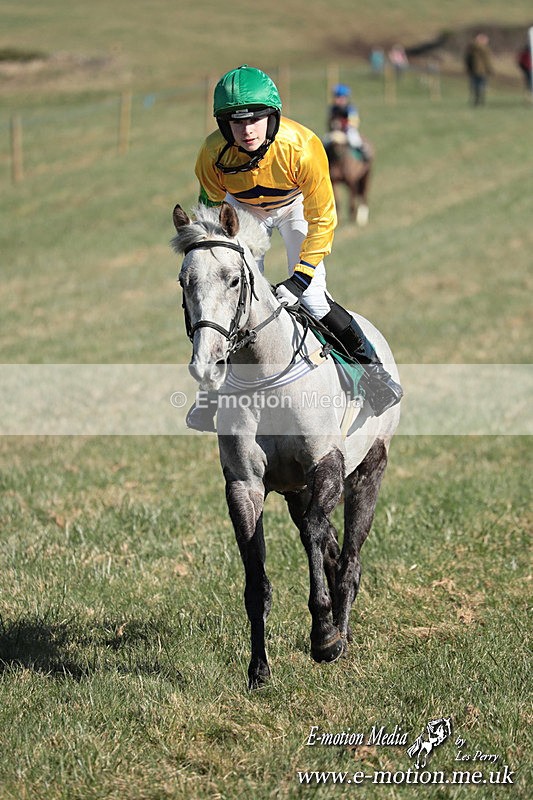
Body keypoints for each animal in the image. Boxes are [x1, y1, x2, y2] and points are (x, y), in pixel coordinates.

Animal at [171, 201, 401, 689]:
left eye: (233, 280)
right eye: (185, 281)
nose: (207, 363)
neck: (265, 375)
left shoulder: (326, 466)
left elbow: (316, 535)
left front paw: (325, 637)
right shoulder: (244, 484)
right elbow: (256, 578)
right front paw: (259, 670)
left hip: (368, 470)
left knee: (349, 558)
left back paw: (342, 633)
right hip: (296, 490)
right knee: (330, 548)